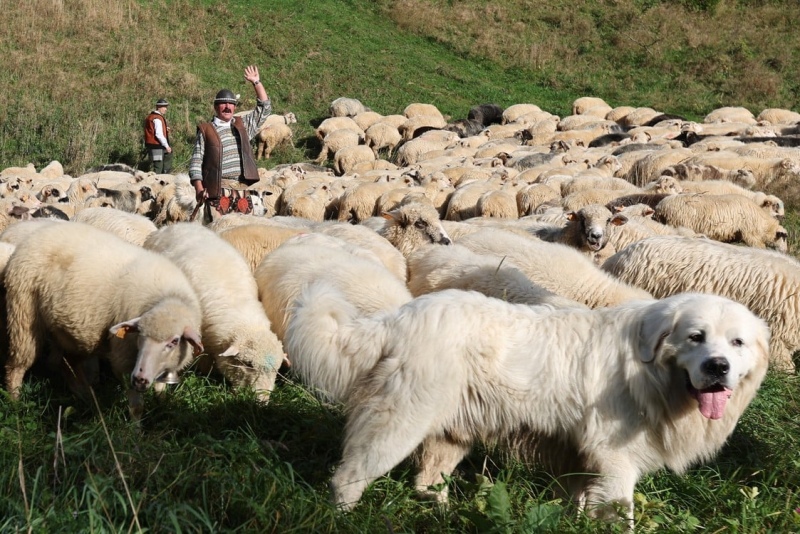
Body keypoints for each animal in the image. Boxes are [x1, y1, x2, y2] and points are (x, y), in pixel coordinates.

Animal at [4, 222, 203, 422]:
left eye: (174, 341)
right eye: (139, 334)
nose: (140, 379)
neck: (168, 297)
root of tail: (38, 234)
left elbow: (160, 389)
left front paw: (162, 406)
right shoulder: (124, 358)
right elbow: (136, 407)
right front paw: (135, 428)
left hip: (75, 333)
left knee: (68, 364)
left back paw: (87, 398)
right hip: (24, 315)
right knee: (17, 366)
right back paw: (15, 404)